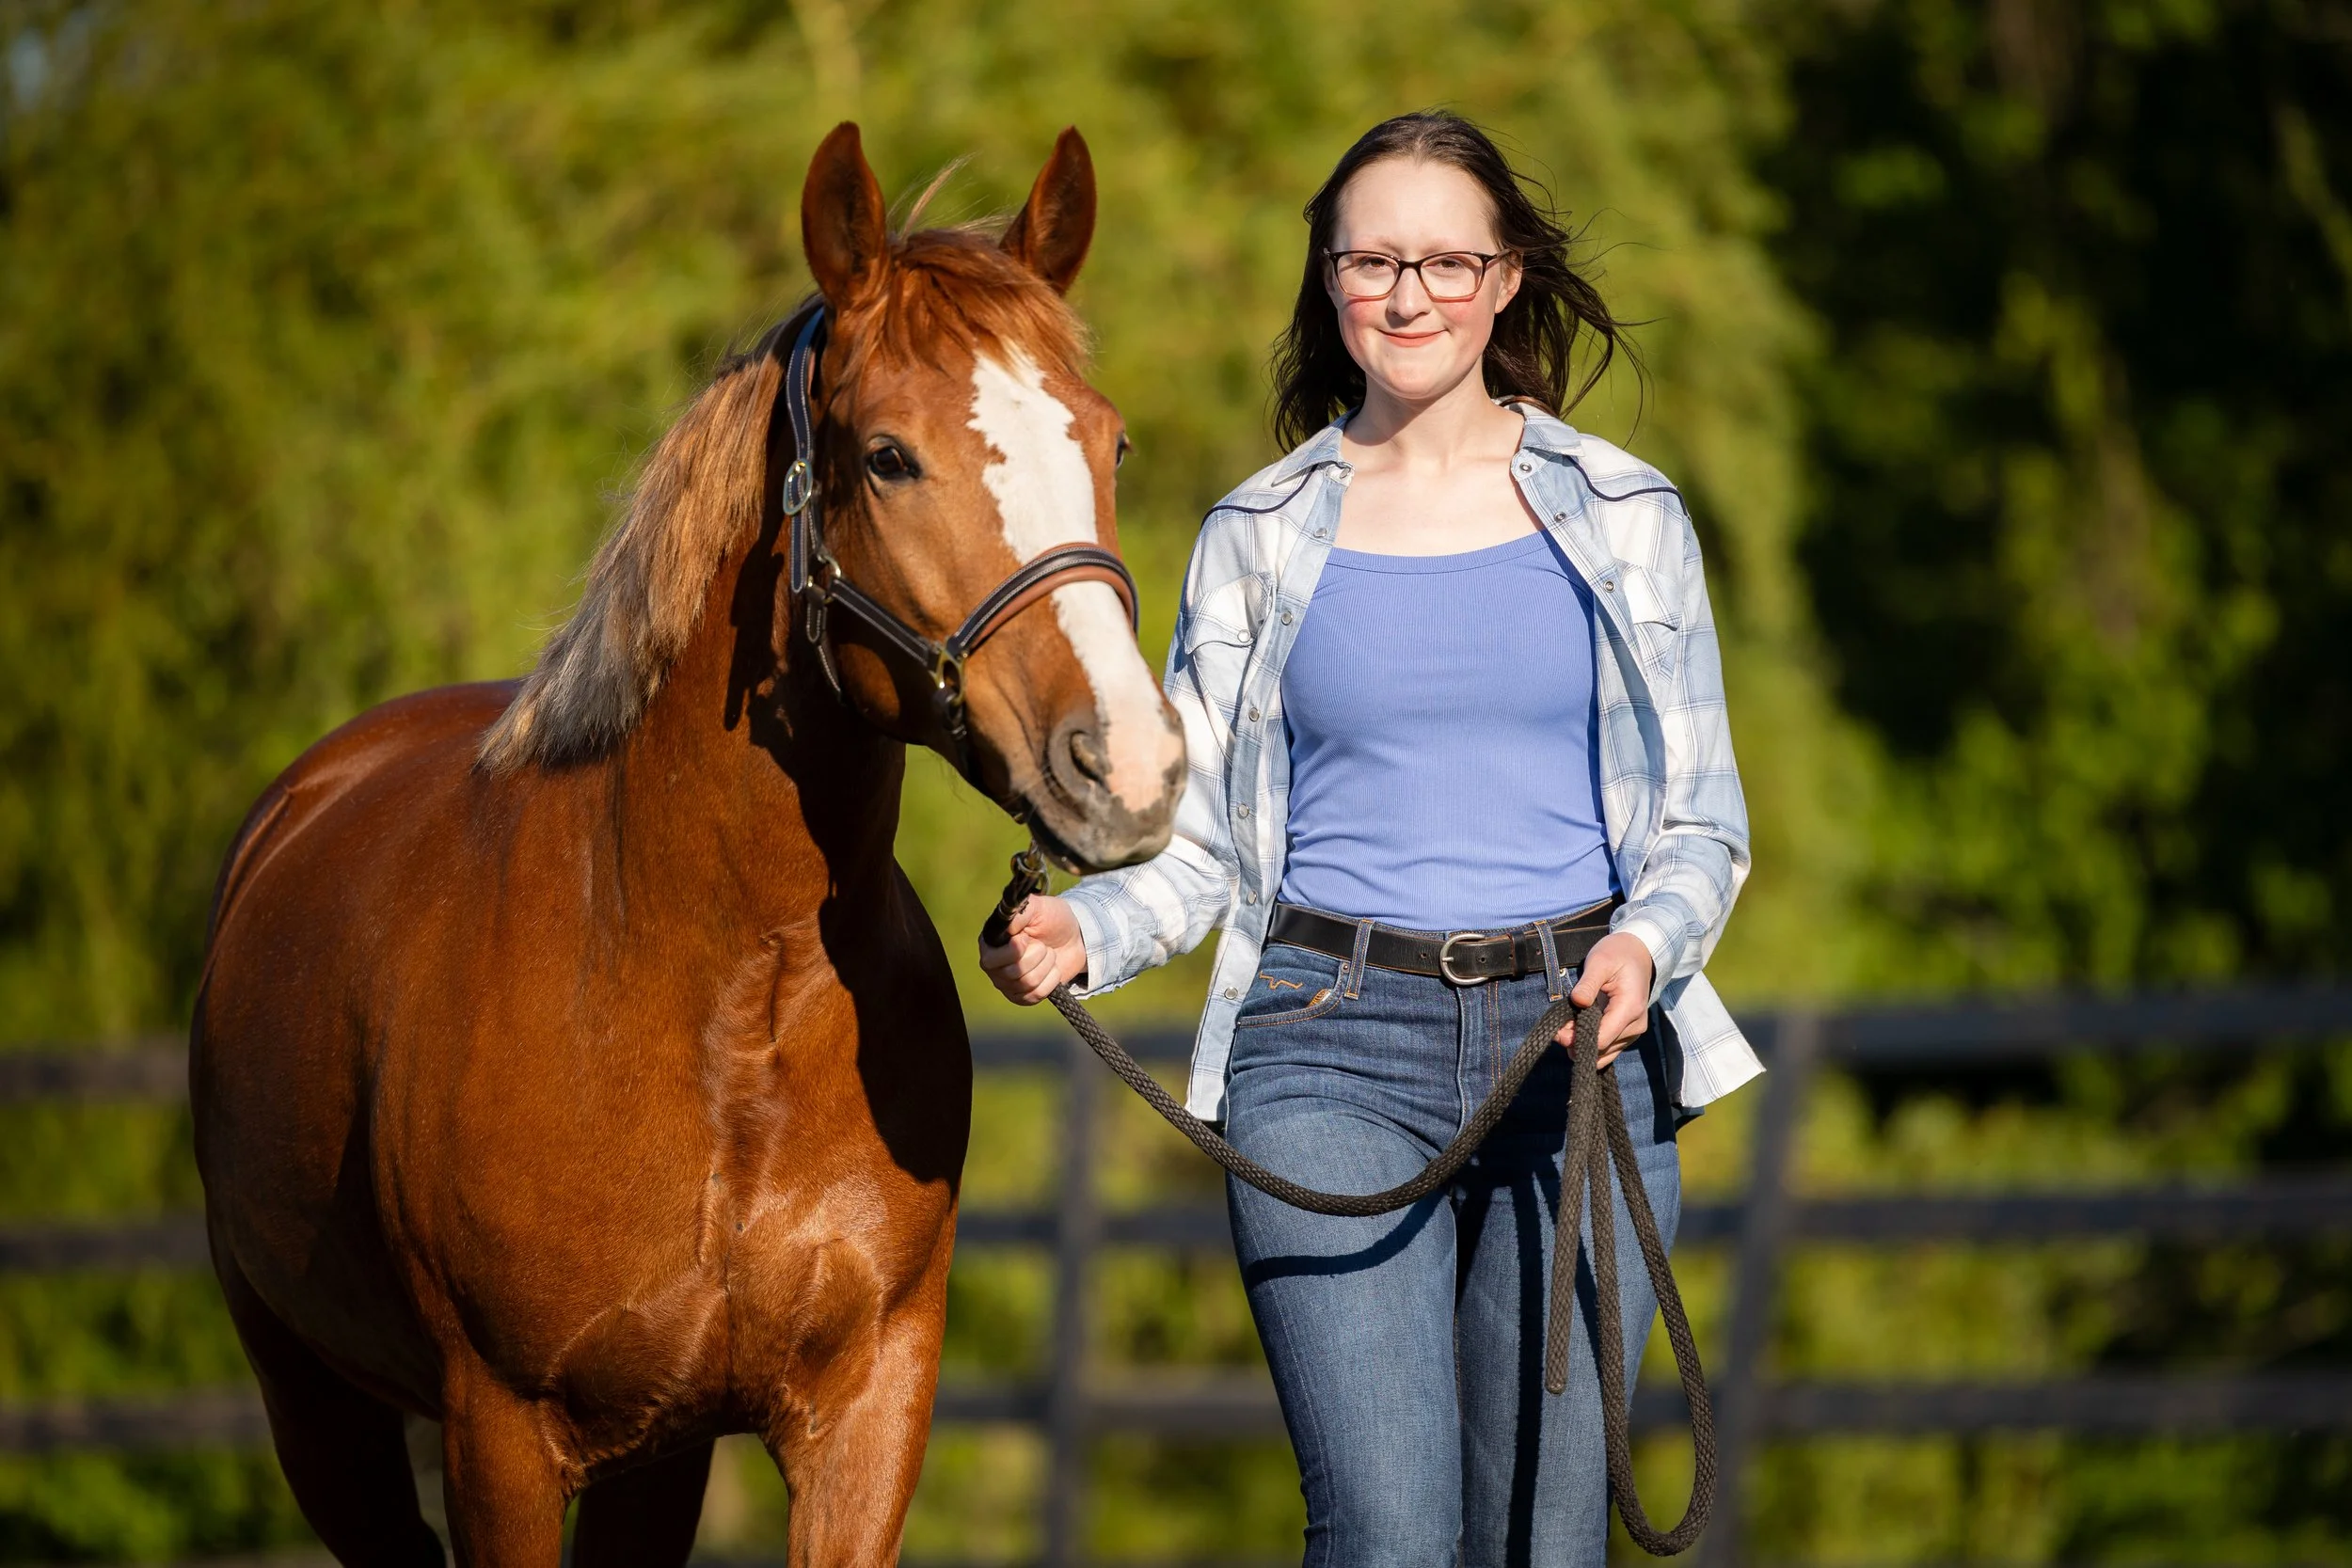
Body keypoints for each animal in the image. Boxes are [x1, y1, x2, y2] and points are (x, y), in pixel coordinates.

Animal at [190, 122, 1184, 1567]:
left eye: (1110, 441)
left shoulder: (862, 1408)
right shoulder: (499, 1434)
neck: (717, 991)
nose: (1131, 764)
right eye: (888, 456)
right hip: (316, 1408)